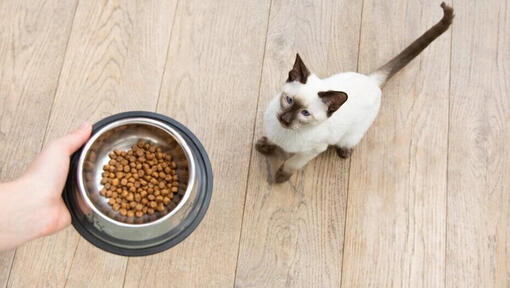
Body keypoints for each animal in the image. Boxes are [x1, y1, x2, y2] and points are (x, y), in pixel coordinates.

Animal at [255, 1, 454, 182]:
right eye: (288, 100)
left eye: (305, 113)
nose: (285, 119)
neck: (284, 133)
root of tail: (371, 79)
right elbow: (271, 140)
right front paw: (263, 145)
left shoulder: (312, 151)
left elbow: (292, 163)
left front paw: (280, 177)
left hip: (350, 136)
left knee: (349, 143)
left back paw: (345, 152)